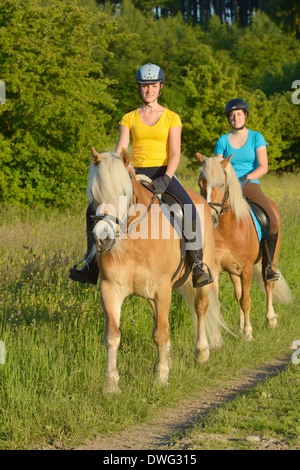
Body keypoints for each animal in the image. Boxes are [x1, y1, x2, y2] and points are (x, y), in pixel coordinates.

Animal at [86, 148, 220, 392]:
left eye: (124, 192)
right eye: (93, 193)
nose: (103, 239)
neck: (135, 240)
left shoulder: (162, 289)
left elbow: (160, 333)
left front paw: (161, 377)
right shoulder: (110, 289)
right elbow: (113, 335)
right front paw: (111, 384)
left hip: (203, 277)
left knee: (200, 308)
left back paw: (202, 353)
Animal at [198, 155, 292, 342]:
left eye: (222, 184)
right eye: (201, 183)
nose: (211, 218)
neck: (228, 229)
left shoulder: (247, 269)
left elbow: (246, 301)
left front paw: (249, 333)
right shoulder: (216, 270)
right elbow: (221, 302)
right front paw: (217, 338)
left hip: (271, 260)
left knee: (268, 284)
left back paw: (270, 320)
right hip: (234, 271)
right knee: (238, 293)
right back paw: (241, 326)